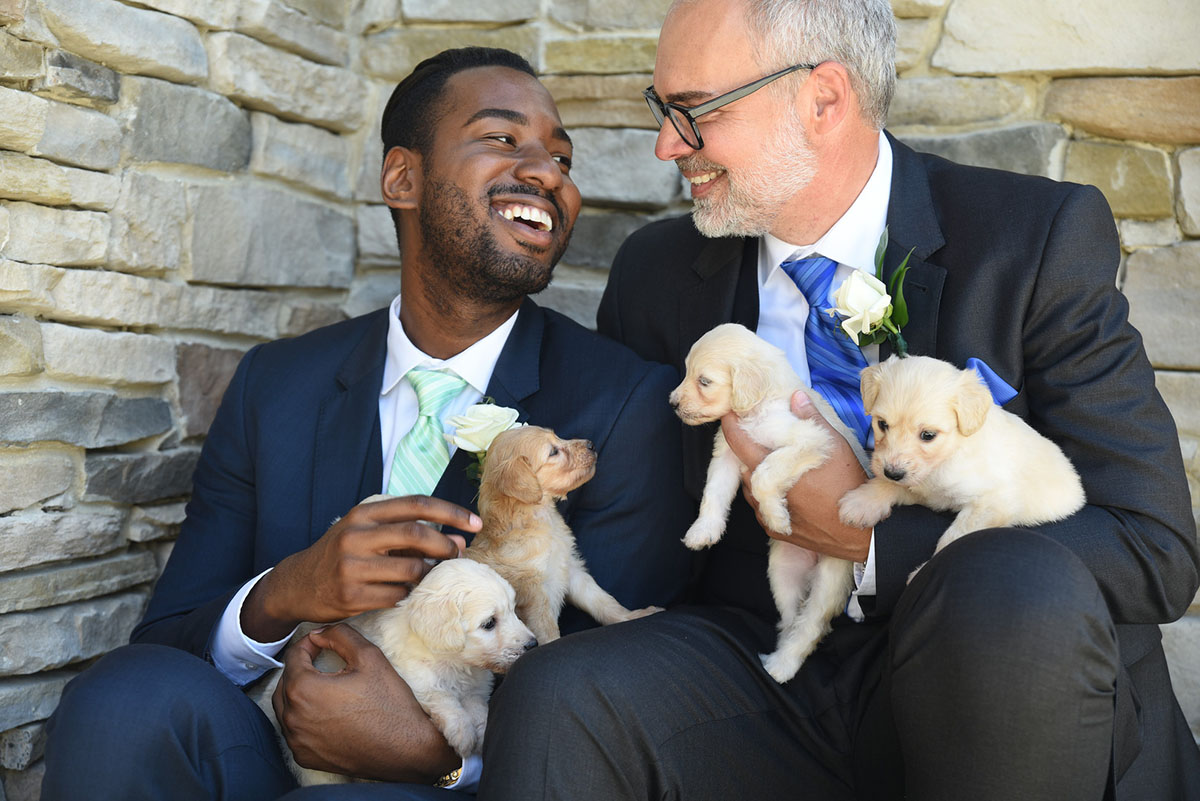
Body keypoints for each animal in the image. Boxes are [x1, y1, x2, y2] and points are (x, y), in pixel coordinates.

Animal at [250, 553, 537, 786]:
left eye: (514, 611)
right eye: (489, 623)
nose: (533, 645)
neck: (456, 664)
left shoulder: (477, 689)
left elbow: (478, 707)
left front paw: (480, 729)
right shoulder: (415, 678)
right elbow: (442, 698)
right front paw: (462, 734)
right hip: (317, 772)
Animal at [463, 424, 662, 642]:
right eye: (553, 451)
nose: (591, 444)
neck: (542, 520)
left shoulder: (571, 568)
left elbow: (601, 600)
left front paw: (633, 616)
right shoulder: (533, 595)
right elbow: (547, 632)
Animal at [672, 321, 868, 685]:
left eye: (704, 381)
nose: (672, 403)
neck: (758, 410)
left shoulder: (810, 441)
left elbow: (766, 473)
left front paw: (776, 516)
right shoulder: (726, 456)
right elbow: (713, 496)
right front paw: (703, 532)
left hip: (830, 582)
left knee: (811, 627)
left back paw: (781, 667)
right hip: (782, 573)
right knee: (791, 618)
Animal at [840, 357, 1084, 563]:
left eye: (928, 435)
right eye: (882, 424)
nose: (892, 472)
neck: (948, 455)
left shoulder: (993, 502)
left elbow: (956, 537)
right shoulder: (925, 491)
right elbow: (891, 485)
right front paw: (862, 502)